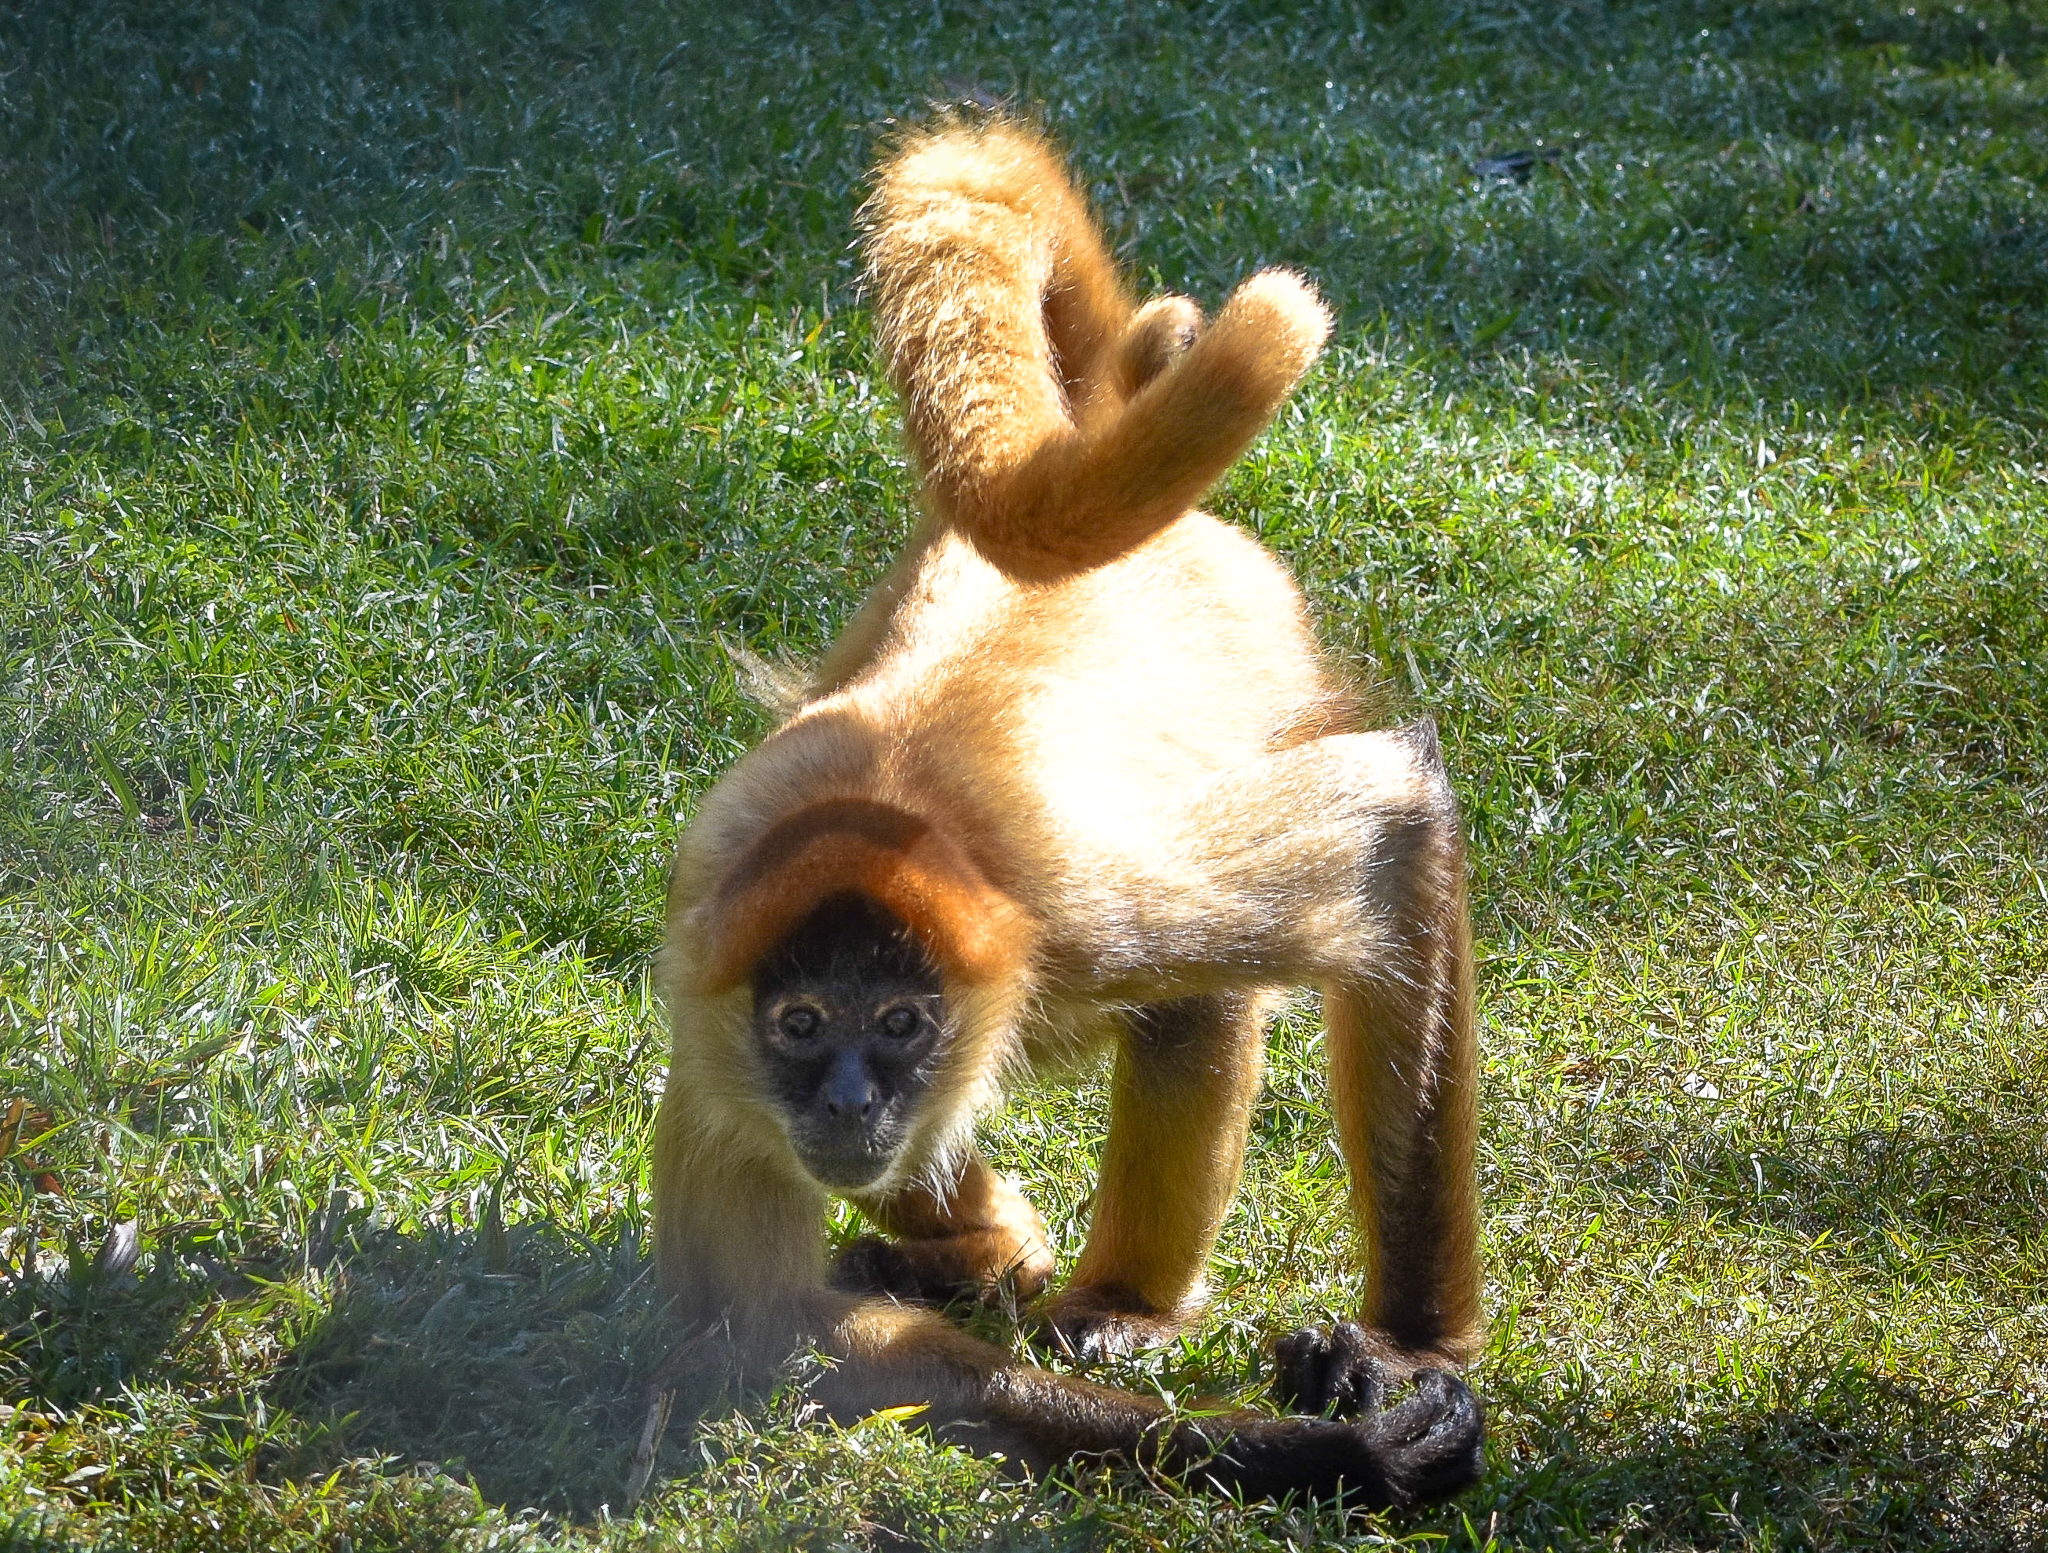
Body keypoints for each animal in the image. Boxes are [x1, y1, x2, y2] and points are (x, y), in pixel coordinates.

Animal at [651, 120, 1485, 1507]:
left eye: (900, 1024)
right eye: (803, 1025)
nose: (848, 1102)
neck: (880, 800)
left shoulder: (1079, 907)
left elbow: (1399, 814)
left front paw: (1400, 1358)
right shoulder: (711, 1011)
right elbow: (779, 1334)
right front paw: (1332, 1450)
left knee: (1199, 995)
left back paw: (1119, 1301)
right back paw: (984, 1251)